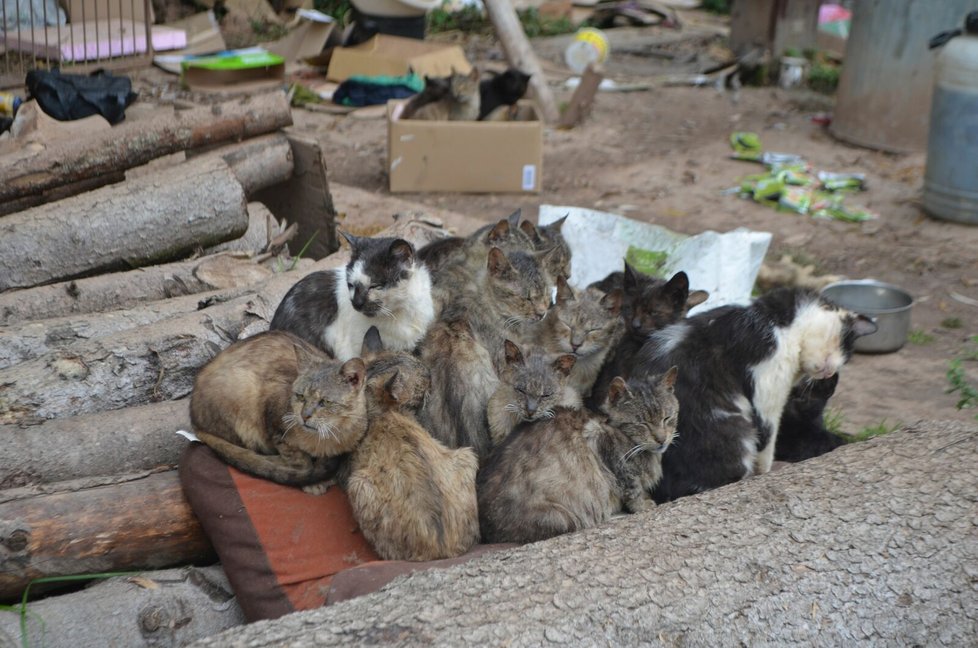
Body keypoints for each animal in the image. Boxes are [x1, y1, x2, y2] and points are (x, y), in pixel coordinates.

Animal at [346, 326, 478, 560]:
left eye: (425, 371)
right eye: (424, 376)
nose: (430, 373)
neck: (380, 411)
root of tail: (443, 549)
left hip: (357, 484)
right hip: (466, 455)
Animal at [474, 368, 676, 544]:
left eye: (667, 418)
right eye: (642, 423)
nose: (662, 439)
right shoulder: (604, 444)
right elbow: (632, 488)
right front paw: (642, 505)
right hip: (563, 515)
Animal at [632, 286, 876, 504]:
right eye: (846, 349)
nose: (830, 374)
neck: (776, 320)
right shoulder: (766, 391)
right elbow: (767, 442)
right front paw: (764, 472)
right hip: (734, 431)